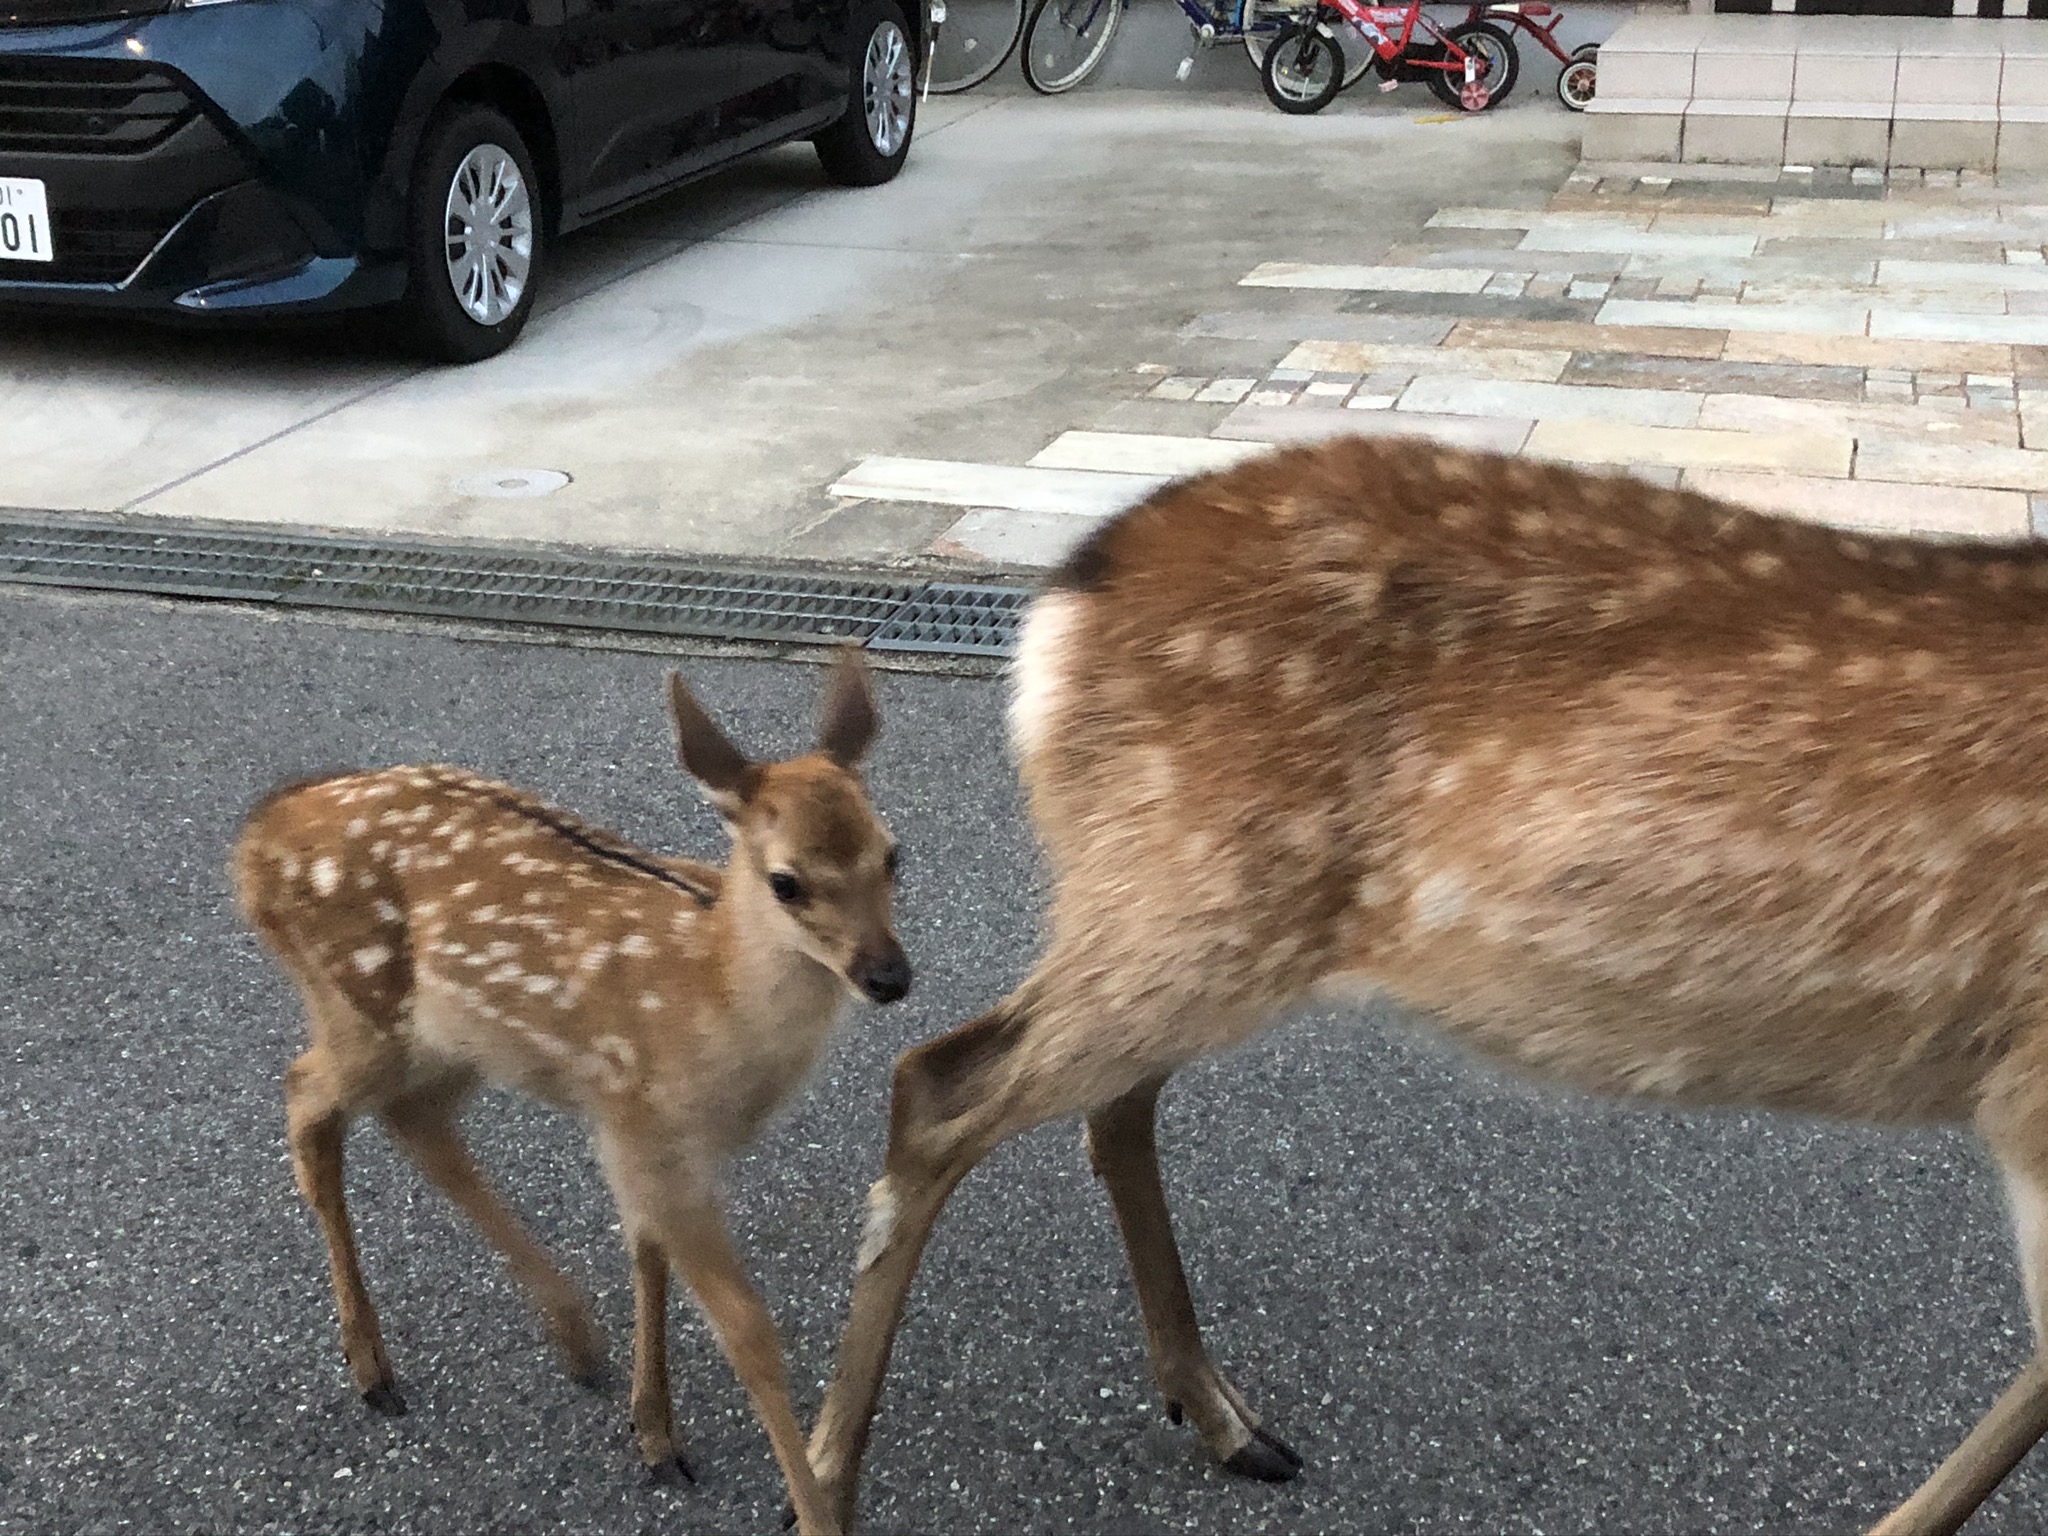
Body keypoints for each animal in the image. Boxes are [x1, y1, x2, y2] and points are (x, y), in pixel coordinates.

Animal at [231, 650, 906, 1536]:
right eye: (787, 881)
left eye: (894, 854)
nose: (890, 975)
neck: (710, 996)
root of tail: (253, 839)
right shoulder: (652, 1128)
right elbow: (749, 1332)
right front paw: (812, 1510)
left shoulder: (632, 1129)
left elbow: (646, 1252)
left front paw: (654, 1433)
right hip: (362, 1004)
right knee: (308, 1096)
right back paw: (375, 1370)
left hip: (454, 1039)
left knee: (415, 1122)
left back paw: (575, 1341)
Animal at [802, 434, 2048, 1536]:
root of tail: (1063, 606)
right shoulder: (2025, 1083)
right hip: (1193, 893)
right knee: (942, 1081)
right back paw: (823, 1485)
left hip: (1178, 908)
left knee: (1100, 1106)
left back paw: (1225, 1420)